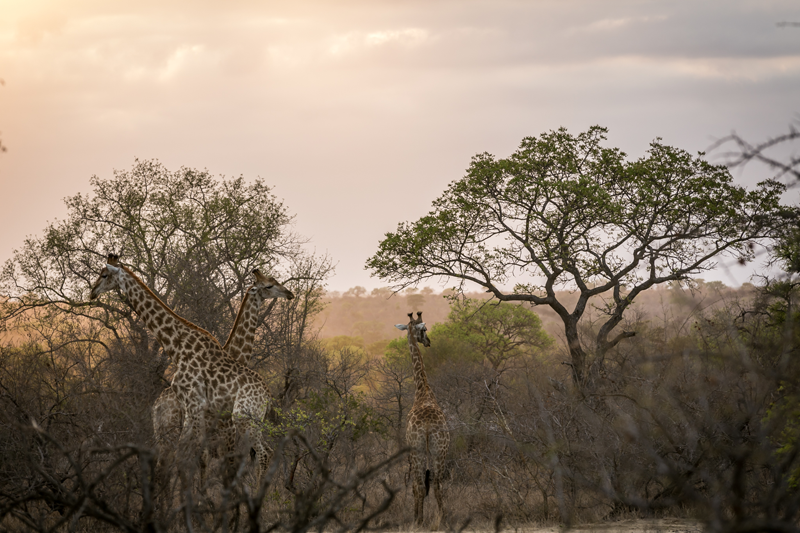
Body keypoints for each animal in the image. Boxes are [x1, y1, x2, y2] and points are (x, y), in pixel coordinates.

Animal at [89, 254, 277, 489]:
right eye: (270, 284)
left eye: (104, 275)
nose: (92, 291)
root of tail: (156, 406)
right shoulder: (218, 422)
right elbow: (214, 461)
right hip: (174, 430)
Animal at [151, 268, 294, 480]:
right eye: (269, 285)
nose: (289, 294)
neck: (234, 353)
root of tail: (156, 406)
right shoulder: (225, 426)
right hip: (172, 430)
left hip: (163, 433)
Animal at [395, 312, 450, 527]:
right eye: (424, 329)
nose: (428, 342)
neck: (423, 389)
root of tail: (426, 426)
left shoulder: (410, 447)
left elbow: (415, 486)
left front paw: (417, 518)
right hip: (439, 449)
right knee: (438, 483)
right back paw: (442, 519)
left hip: (418, 448)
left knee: (418, 484)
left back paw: (418, 520)